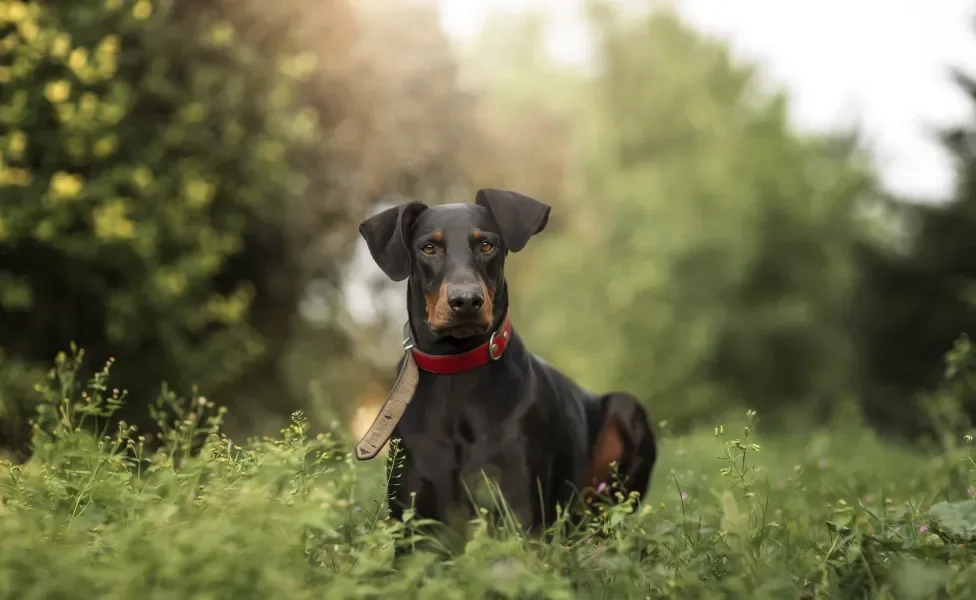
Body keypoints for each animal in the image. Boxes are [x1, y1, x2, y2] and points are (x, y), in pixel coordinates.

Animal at [354, 190, 660, 548]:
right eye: (428, 248)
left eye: (487, 245)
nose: (466, 302)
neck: (458, 368)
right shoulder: (413, 520)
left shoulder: (519, 511)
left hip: (626, 411)